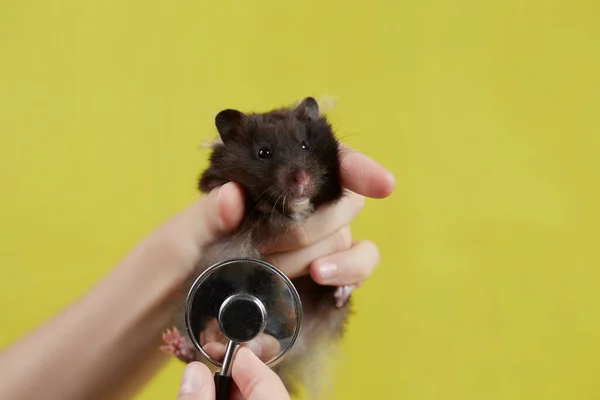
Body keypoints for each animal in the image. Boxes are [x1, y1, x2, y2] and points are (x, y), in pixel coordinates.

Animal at [162, 97, 354, 396]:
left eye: (304, 145)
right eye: (264, 153)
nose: (302, 181)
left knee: (334, 305)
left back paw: (342, 290)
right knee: (193, 351)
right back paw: (176, 343)